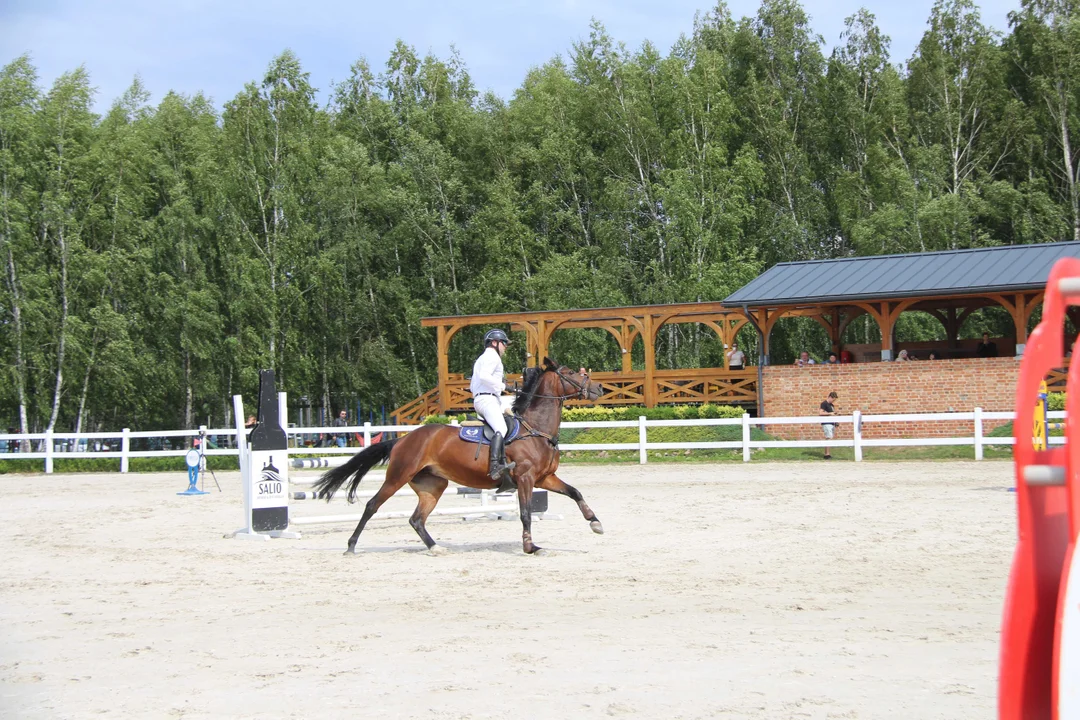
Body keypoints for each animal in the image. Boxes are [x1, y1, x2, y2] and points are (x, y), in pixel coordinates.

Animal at [313, 358, 609, 557]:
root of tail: (403, 439)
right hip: (397, 476)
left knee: (417, 519)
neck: (534, 428)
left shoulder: (545, 478)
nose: (598, 389)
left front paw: (595, 522)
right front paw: (530, 546)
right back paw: (351, 546)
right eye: (570, 373)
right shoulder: (526, 479)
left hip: (433, 486)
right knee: (372, 505)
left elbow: (575, 492)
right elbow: (526, 513)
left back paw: (435, 547)